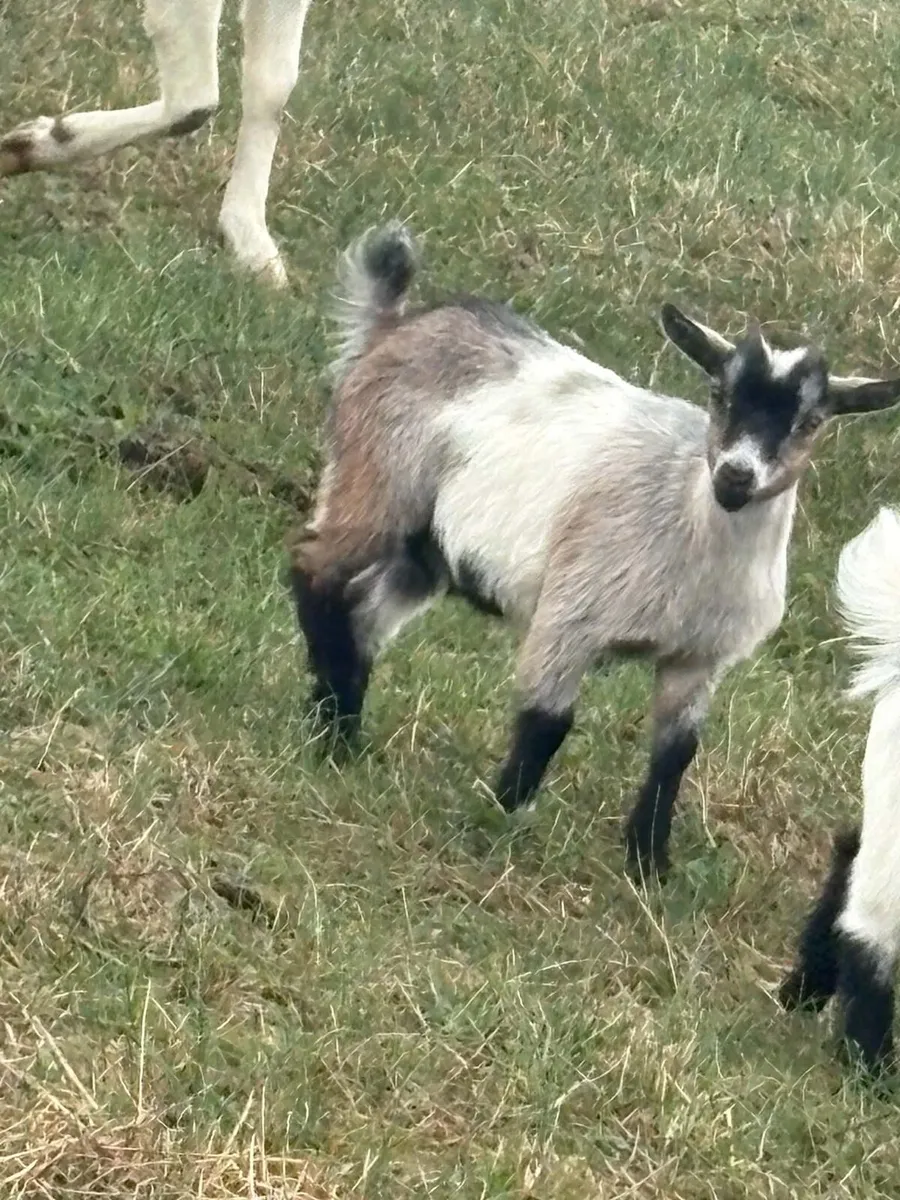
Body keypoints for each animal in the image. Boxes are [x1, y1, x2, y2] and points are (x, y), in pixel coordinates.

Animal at [287, 223, 900, 882]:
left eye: (810, 421)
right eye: (720, 392)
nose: (736, 476)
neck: (686, 512)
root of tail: (395, 325)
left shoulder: (697, 659)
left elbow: (675, 755)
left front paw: (649, 864)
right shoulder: (571, 615)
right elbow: (547, 723)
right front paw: (500, 817)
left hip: (426, 549)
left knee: (366, 613)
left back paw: (343, 723)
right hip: (377, 478)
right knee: (315, 568)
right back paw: (331, 732)